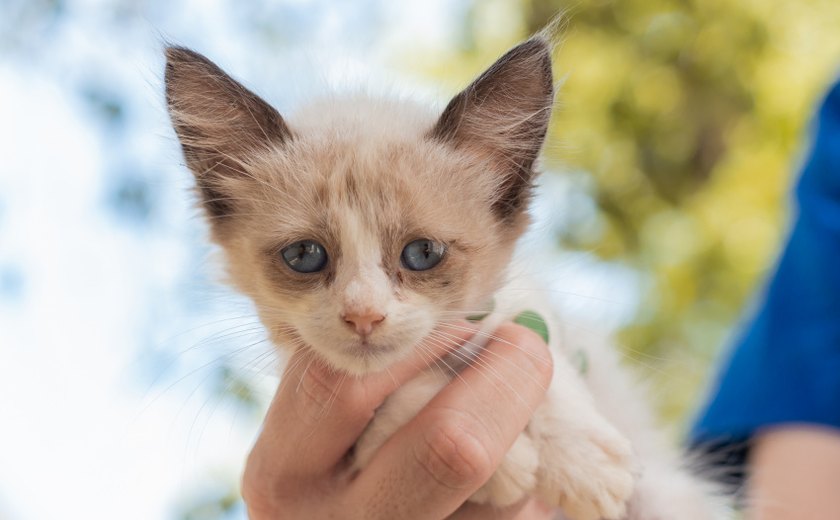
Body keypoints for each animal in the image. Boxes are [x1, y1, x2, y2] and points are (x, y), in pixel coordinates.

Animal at [164, 35, 728, 516]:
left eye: (422, 253)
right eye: (305, 255)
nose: (364, 316)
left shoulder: (526, 309)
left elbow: (539, 344)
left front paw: (582, 463)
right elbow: (396, 400)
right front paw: (507, 468)